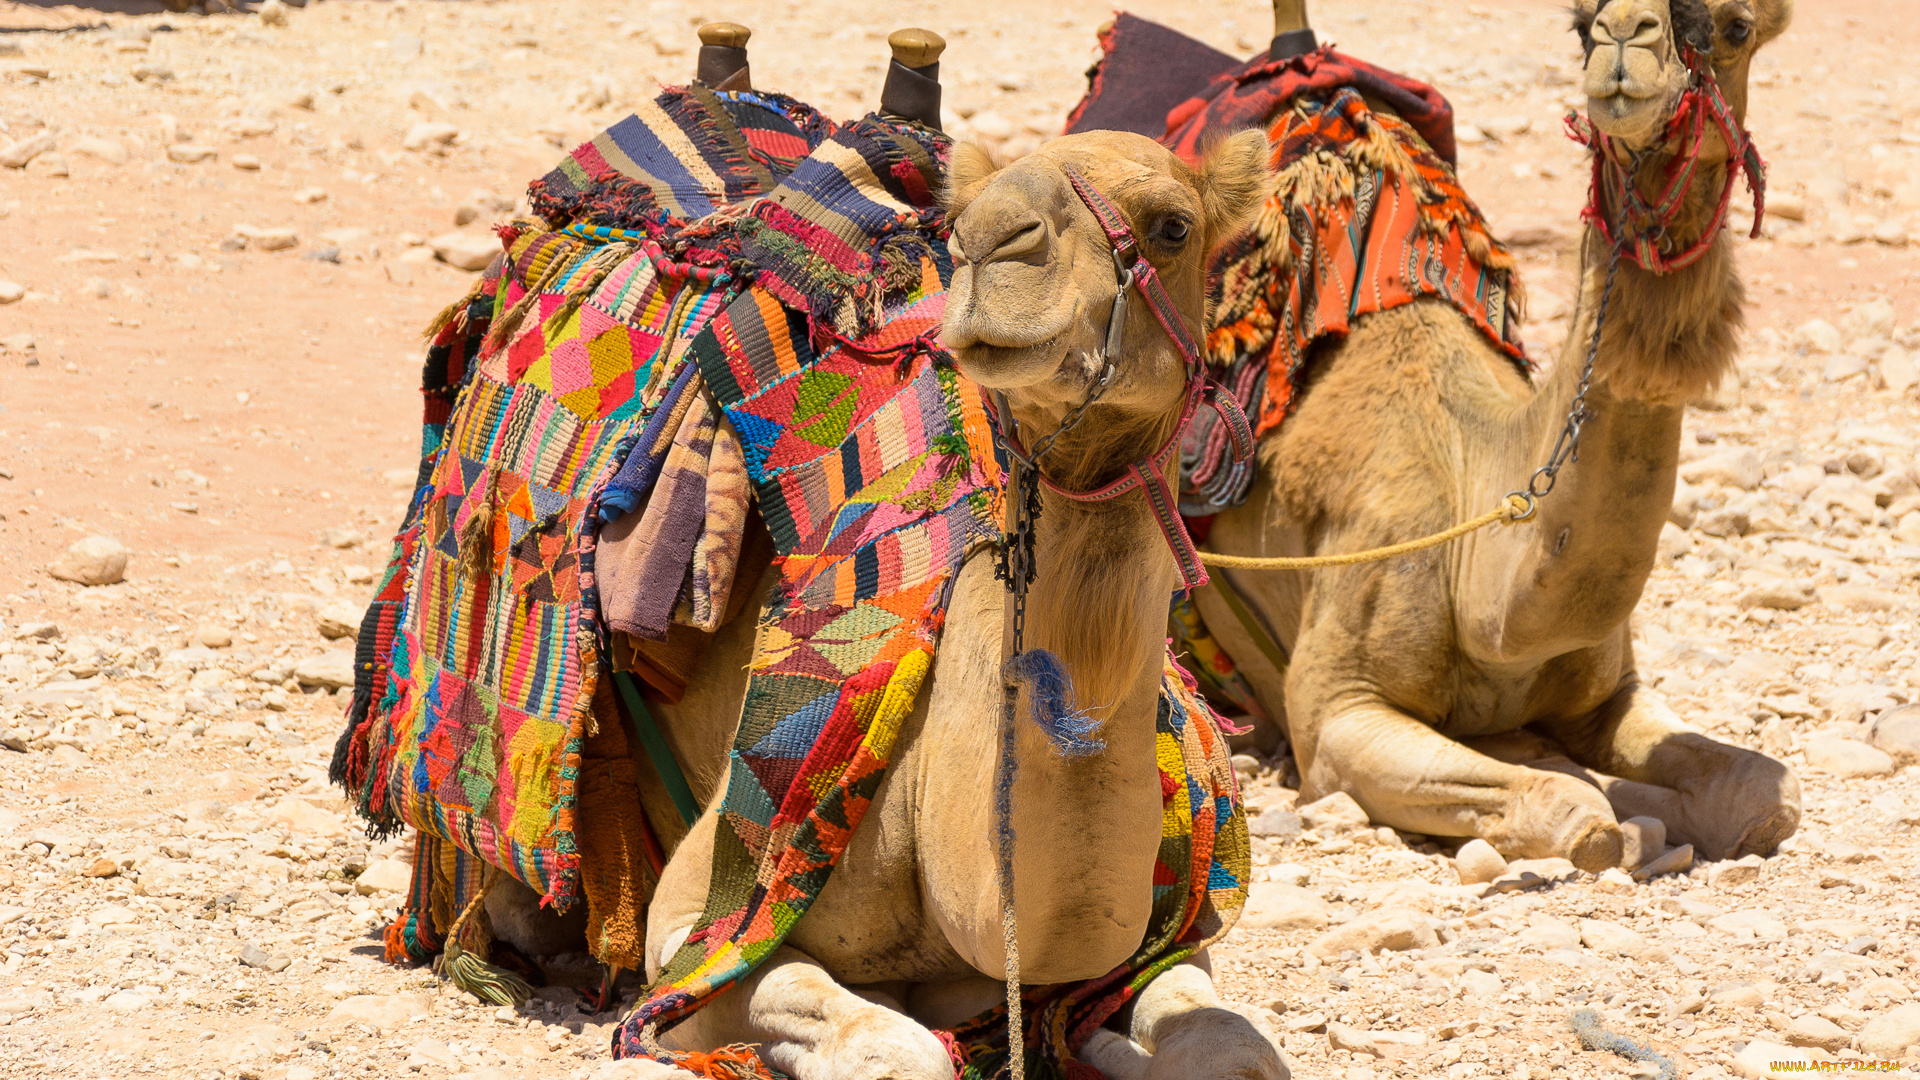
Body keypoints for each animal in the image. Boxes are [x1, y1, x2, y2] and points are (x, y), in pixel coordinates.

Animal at [622, 127, 1290, 1076]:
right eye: (964, 223)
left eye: (1172, 225)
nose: (996, 240)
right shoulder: (690, 930)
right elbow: (898, 1047)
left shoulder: (1166, 943)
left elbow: (1227, 1043)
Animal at [1190, 0, 1804, 868]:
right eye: (1582, 26)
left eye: (1735, 27)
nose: (1624, 37)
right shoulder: (1338, 716)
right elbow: (1578, 815)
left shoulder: (1609, 690)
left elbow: (1758, 796)